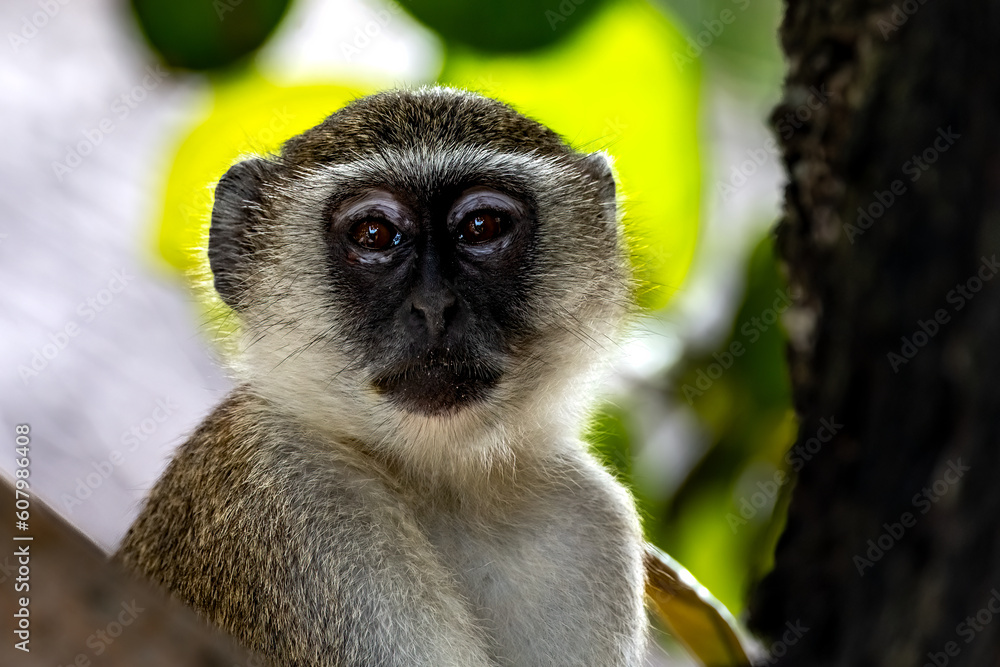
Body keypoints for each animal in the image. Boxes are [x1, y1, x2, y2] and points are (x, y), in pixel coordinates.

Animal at [115, 86, 647, 666]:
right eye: (375, 233)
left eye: (482, 227)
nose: (435, 307)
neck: (445, 485)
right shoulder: (289, 497)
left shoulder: (589, 521)